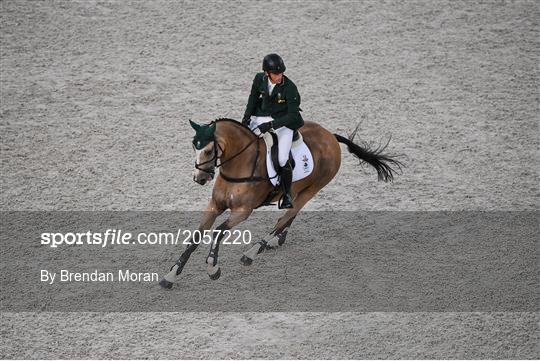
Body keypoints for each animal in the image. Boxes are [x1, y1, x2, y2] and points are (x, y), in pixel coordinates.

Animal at [159, 117, 400, 286]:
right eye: (194, 147)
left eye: (209, 150)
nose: (199, 178)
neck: (238, 164)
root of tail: (331, 137)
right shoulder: (215, 206)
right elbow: (196, 237)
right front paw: (171, 275)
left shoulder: (242, 211)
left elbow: (218, 232)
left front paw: (213, 269)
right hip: (300, 190)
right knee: (289, 214)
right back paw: (276, 241)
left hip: (313, 189)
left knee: (286, 217)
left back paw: (253, 252)